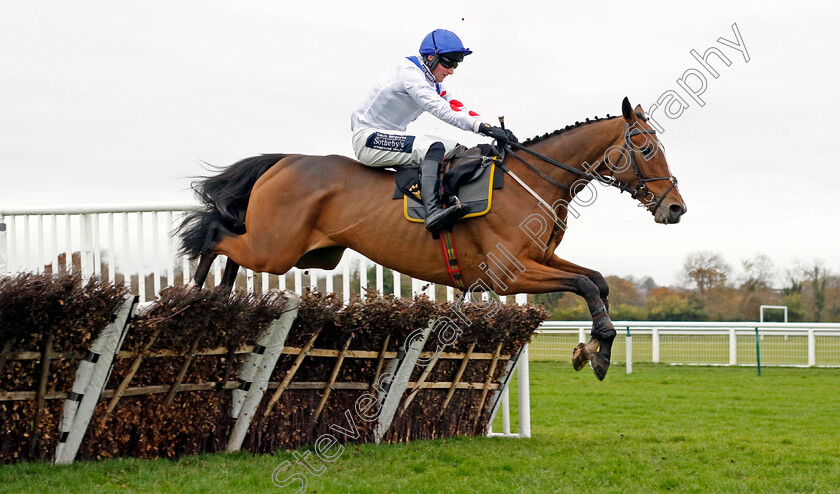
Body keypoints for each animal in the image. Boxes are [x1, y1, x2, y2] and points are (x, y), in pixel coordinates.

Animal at [180, 97, 684, 382]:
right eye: (645, 147)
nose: (675, 208)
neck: (531, 183)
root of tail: (283, 161)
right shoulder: (509, 274)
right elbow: (583, 285)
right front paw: (597, 349)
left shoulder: (540, 260)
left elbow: (596, 280)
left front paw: (593, 349)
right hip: (278, 251)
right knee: (216, 236)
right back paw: (198, 296)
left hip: (308, 254)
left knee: (231, 247)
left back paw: (220, 297)